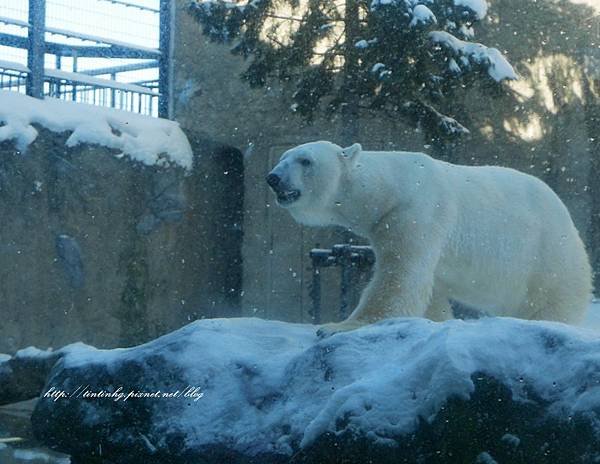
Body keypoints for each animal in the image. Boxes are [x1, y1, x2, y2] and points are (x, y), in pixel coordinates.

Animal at [266, 140, 592, 332]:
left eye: (305, 161)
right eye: (283, 157)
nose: (273, 178)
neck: (388, 187)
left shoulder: (415, 213)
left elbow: (400, 276)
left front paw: (337, 326)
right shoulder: (388, 223)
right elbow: (430, 287)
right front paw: (439, 320)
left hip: (548, 253)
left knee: (552, 300)